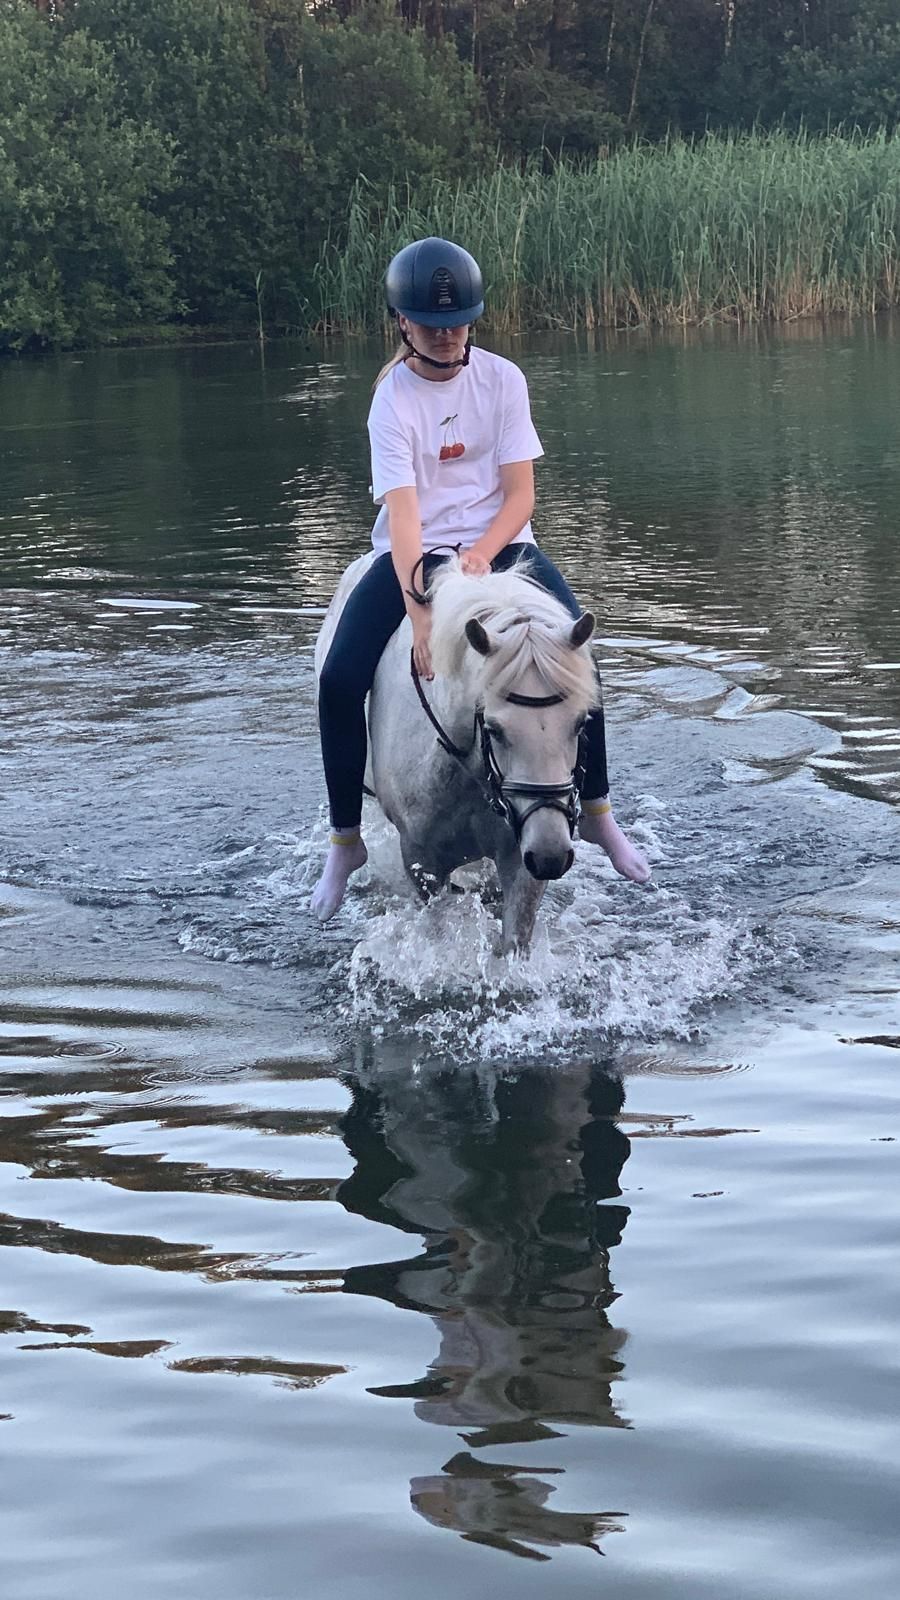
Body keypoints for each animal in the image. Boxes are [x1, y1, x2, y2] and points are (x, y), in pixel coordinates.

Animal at [314, 553, 597, 952]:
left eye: (580, 723)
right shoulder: (422, 861)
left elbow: (514, 941)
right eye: (494, 729)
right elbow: (440, 931)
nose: (550, 856)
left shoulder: (522, 856)